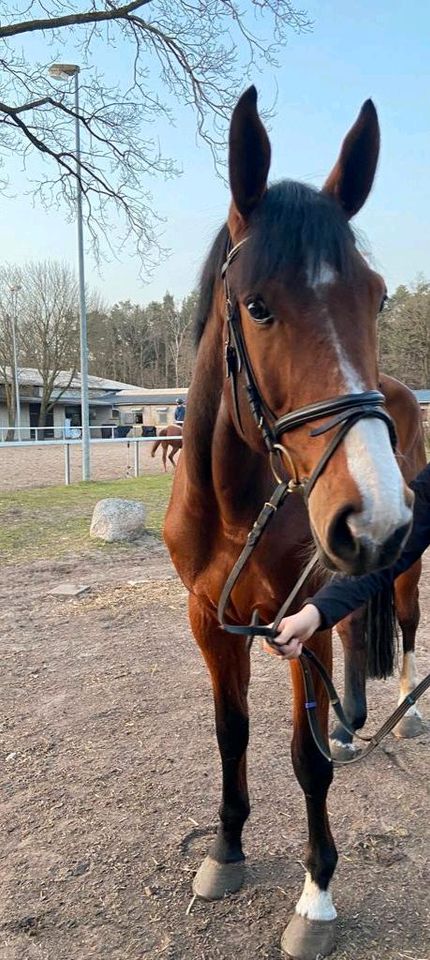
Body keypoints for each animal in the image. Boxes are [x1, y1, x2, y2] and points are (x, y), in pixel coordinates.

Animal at [164, 86, 414, 956]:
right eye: (259, 306)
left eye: (376, 296)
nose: (376, 512)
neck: (239, 507)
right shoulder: (211, 619)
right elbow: (230, 733)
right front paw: (226, 848)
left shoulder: (295, 621)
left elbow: (305, 761)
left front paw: (317, 896)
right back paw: (357, 721)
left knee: (404, 620)